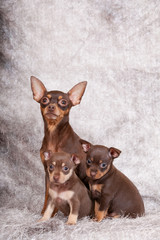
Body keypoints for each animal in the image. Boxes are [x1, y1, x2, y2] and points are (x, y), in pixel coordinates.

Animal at [30, 76, 88, 213]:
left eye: (63, 102)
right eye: (44, 100)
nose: (51, 106)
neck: (54, 134)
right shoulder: (48, 172)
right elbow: (48, 193)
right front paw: (45, 211)